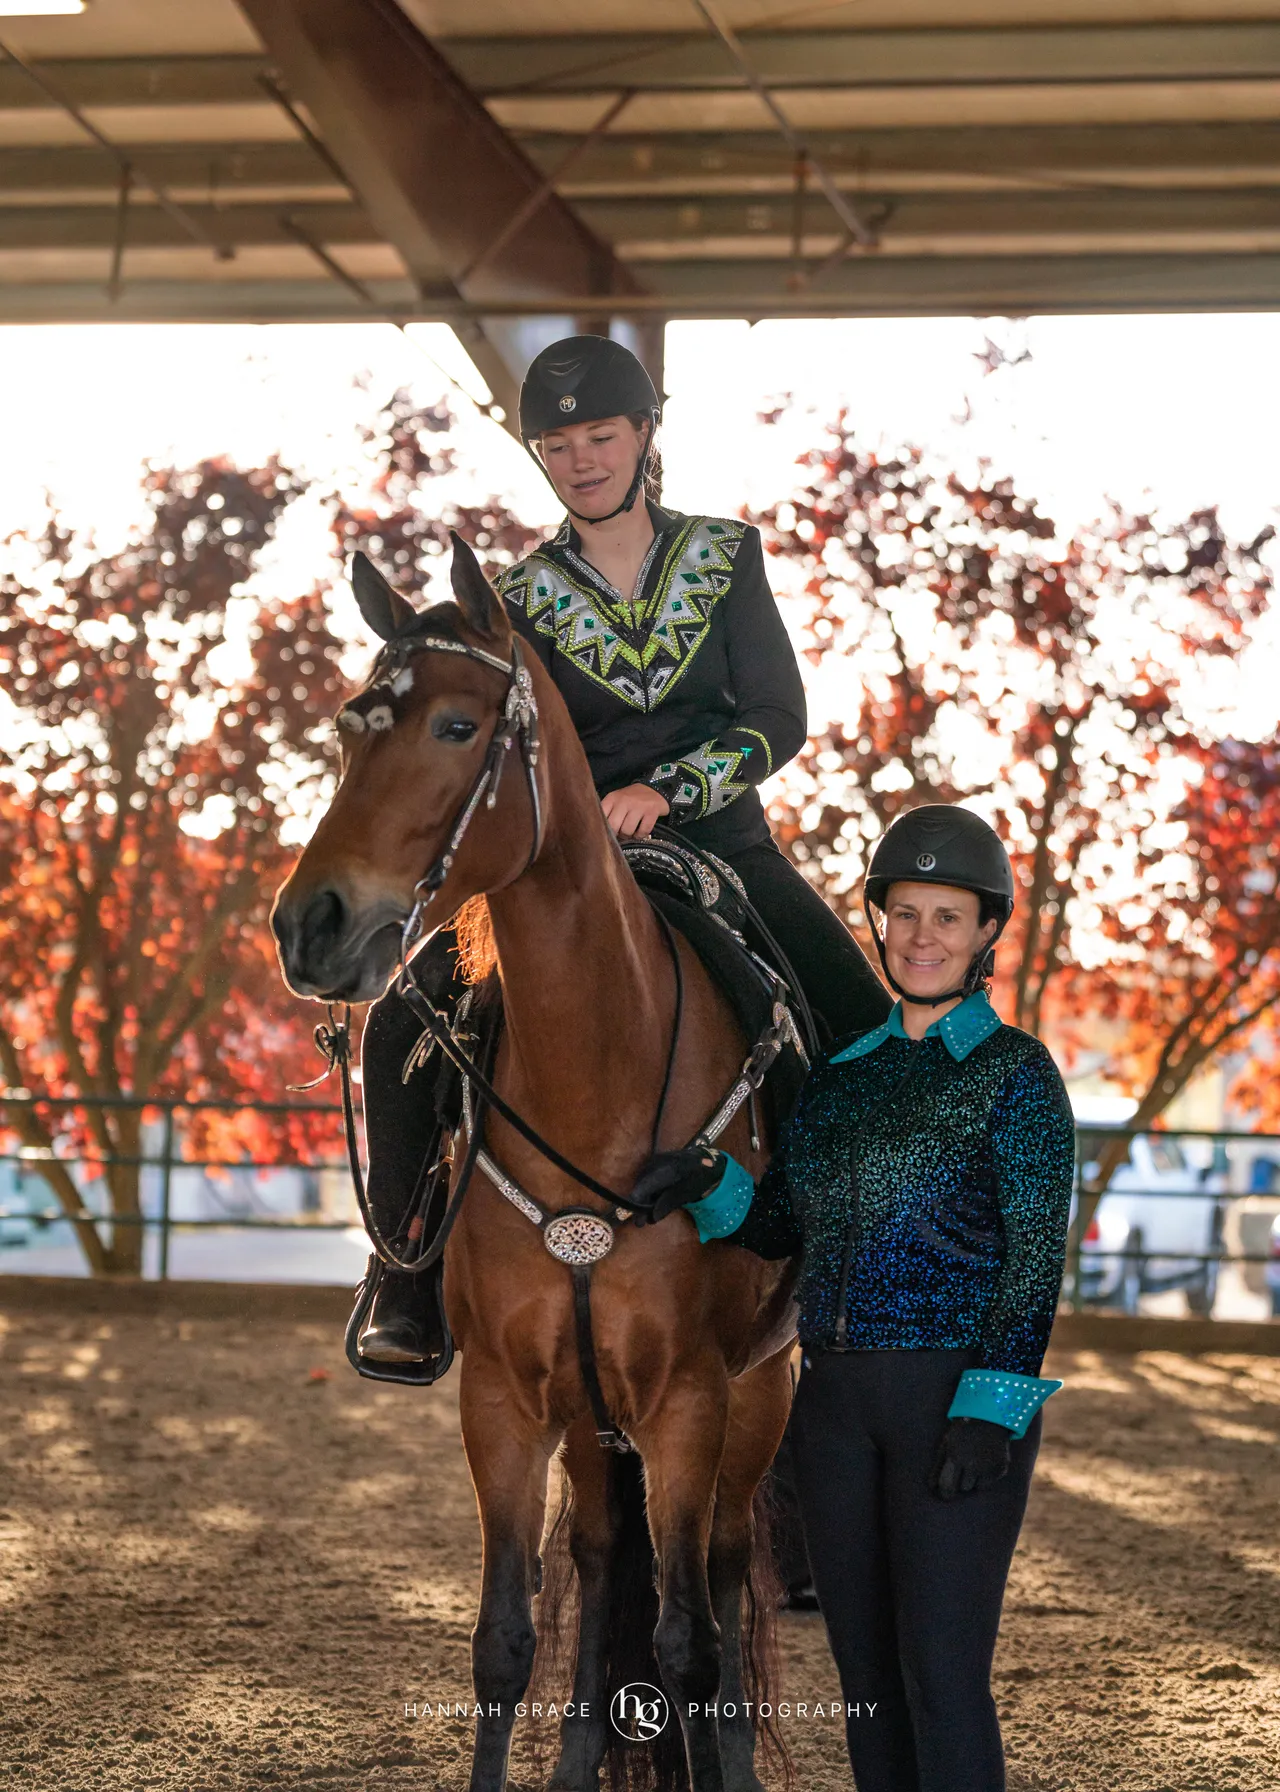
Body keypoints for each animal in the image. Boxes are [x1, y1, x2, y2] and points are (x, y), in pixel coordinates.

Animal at [271, 539, 800, 1792]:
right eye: (347, 727)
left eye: (458, 726)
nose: (309, 925)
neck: (595, 1075)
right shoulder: (505, 1399)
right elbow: (505, 1640)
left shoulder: (690, 1399)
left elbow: (690, 1642)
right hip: (590, 1415)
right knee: (605, 1559)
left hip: (761, 1388)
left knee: (719, 1573)